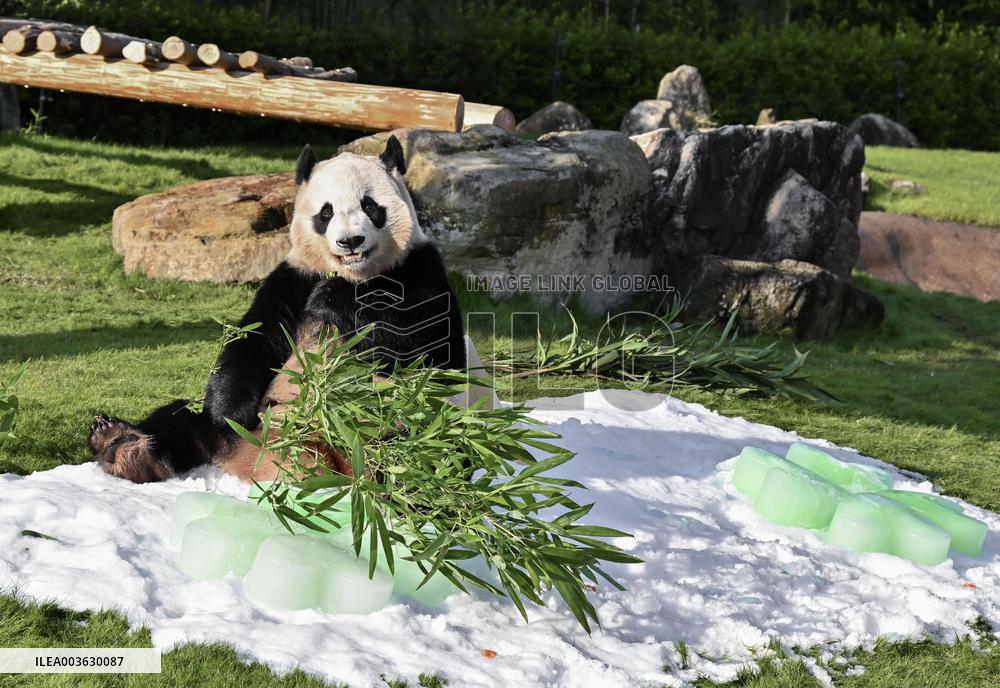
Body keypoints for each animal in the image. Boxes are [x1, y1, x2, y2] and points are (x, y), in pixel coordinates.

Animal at [89, 135, 466, 483]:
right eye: (326, 212)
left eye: (370, 206)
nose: (350, 241)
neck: (355, 273)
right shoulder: (293, 278)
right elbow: (254, 341)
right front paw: (231, 411)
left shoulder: (419, 268)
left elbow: (424, 344)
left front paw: (333, 298)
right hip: (230, 424)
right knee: (182, 420)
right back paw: (122, 447)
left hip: (405, 430)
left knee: (421, 451)